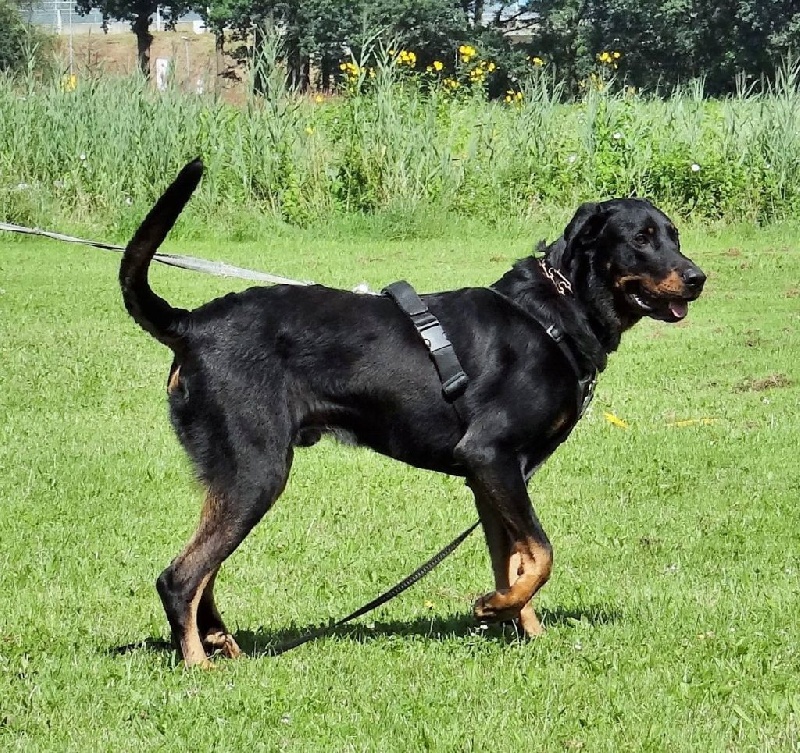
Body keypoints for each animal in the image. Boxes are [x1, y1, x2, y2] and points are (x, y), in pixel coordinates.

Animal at [120, 159, 708, 664]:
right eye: (640, 240)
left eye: (674, 236)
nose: (698, 277)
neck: (554, 313)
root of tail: (191, 324)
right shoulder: (490, 456)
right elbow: (541, 552)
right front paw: (495, 609)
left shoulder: (492, 478)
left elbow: (514, 560)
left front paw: (520, 625)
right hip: (256, 471)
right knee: (180, 577)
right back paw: (199, 666)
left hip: (235, 478)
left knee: (204, 573)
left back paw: (222, 645)